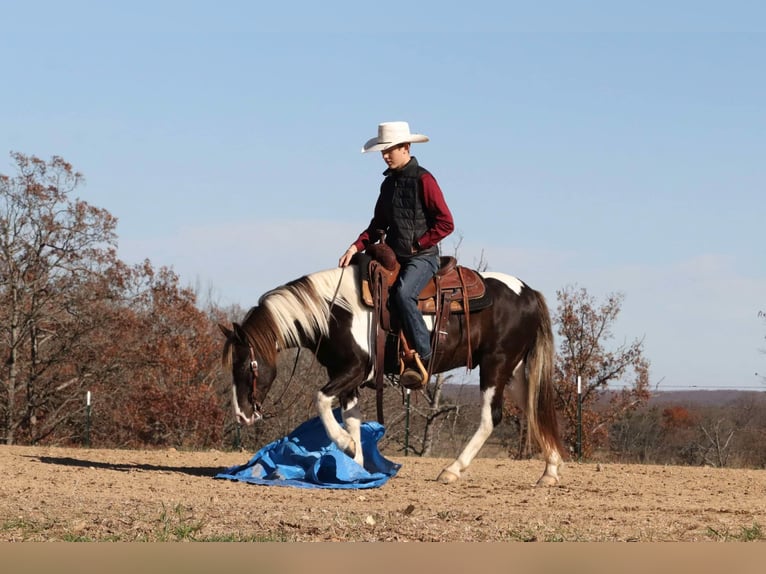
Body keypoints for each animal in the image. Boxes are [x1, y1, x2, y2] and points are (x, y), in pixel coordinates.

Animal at [219, 264, 568, 486]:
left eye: (245, 366)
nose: (241, 416)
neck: (336, 312)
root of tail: (528, 293)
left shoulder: (354, 370)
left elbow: (321, 400)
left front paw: (344, 444)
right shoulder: (346, 377)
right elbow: (352, 418)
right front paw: (357, 468)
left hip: (496, 365)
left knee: (490, 418)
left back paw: (452, 470)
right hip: (516, 371)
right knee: (535, 409)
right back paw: (550, 472)